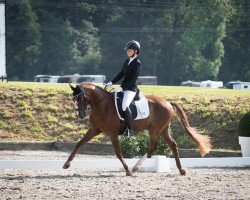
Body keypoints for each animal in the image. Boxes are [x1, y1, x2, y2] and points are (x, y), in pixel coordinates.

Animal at [63, 82, 211, 175]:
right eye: (74, 99)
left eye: (81, 97)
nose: (81, 115)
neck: (102, 106)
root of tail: (168, 102)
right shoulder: (94, 130)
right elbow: (79, 143)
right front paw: (66, 164)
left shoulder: (112, 134)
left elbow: (118, 153)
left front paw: (127, 170)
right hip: (163, 130)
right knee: (172, 146)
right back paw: (181, 171)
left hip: (155, 130)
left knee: (154, 147)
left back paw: (135, 167)